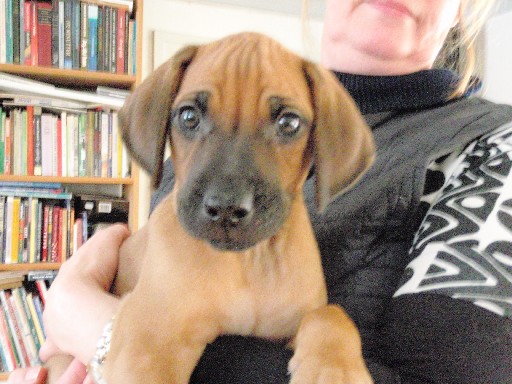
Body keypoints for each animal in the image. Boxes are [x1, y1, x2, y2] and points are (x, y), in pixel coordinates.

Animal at [106, 33, 374, 384]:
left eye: (289, 123)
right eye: (188, 117)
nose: (225, 207)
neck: (249, 262)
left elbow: (331, 314)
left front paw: (334, 368)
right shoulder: (149, 342)